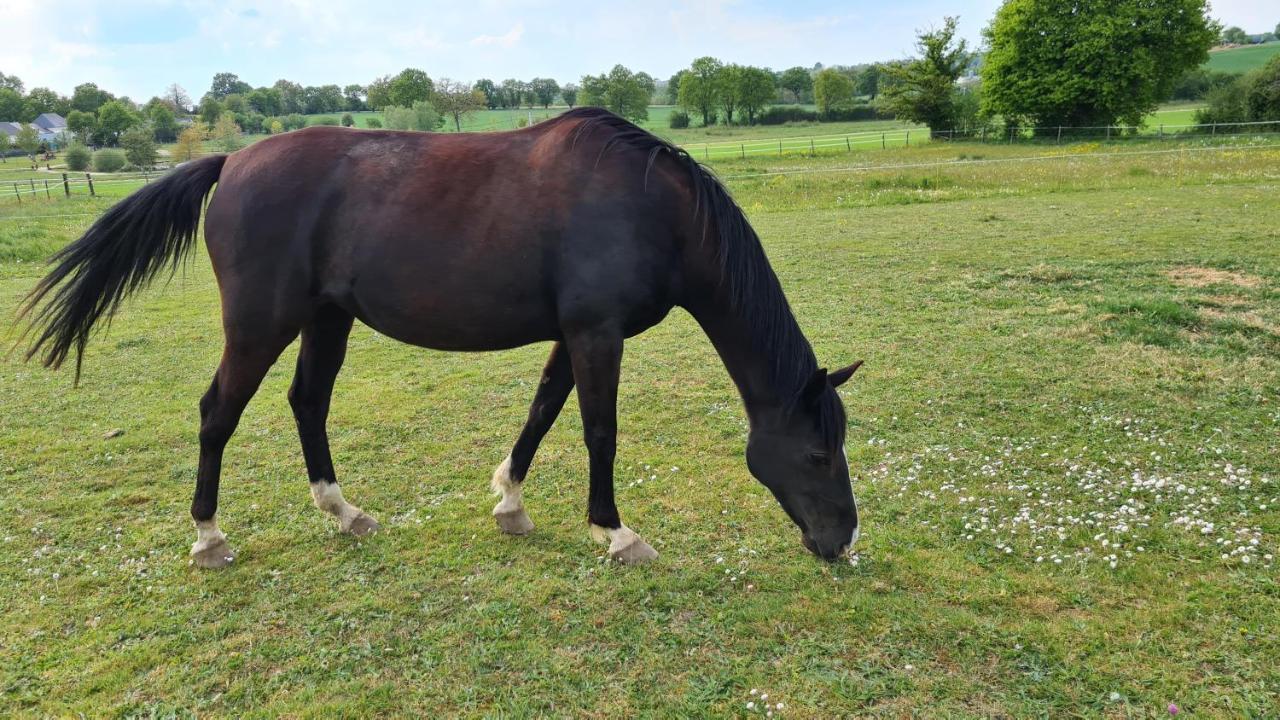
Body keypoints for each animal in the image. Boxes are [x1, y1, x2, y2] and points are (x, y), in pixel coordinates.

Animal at [17, 106, 860, 566]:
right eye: (817, 454)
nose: (842, 541)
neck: (649, 205)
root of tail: (234, 159)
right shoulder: (597, 334)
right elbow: (599, 430)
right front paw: (616, 533)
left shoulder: (574, 335)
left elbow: (542, 413)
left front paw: (510, 504)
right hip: (259, 326)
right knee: (217, 414)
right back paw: (208, 538)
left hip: (326, 319)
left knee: (307, 403)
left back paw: (344, 513)